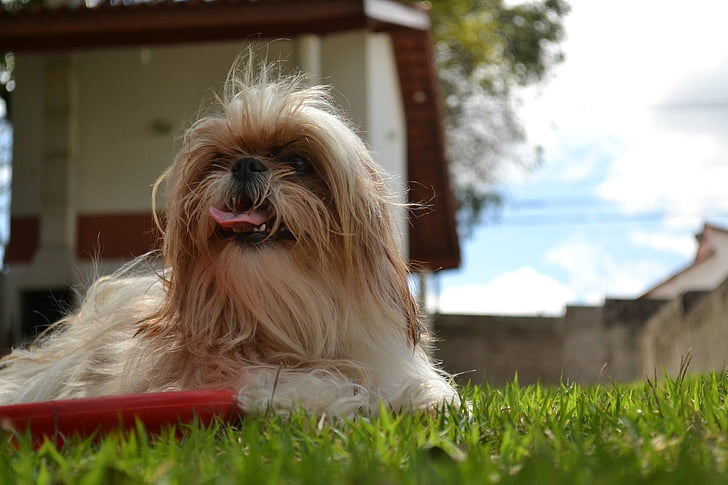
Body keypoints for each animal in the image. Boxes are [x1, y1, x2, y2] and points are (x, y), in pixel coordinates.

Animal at [0, 55, 458, 412]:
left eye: (298, 162)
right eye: (221, 158)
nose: (245, 164)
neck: (286, 321)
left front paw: (421, 398)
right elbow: (284, 381)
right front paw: (330, 395)